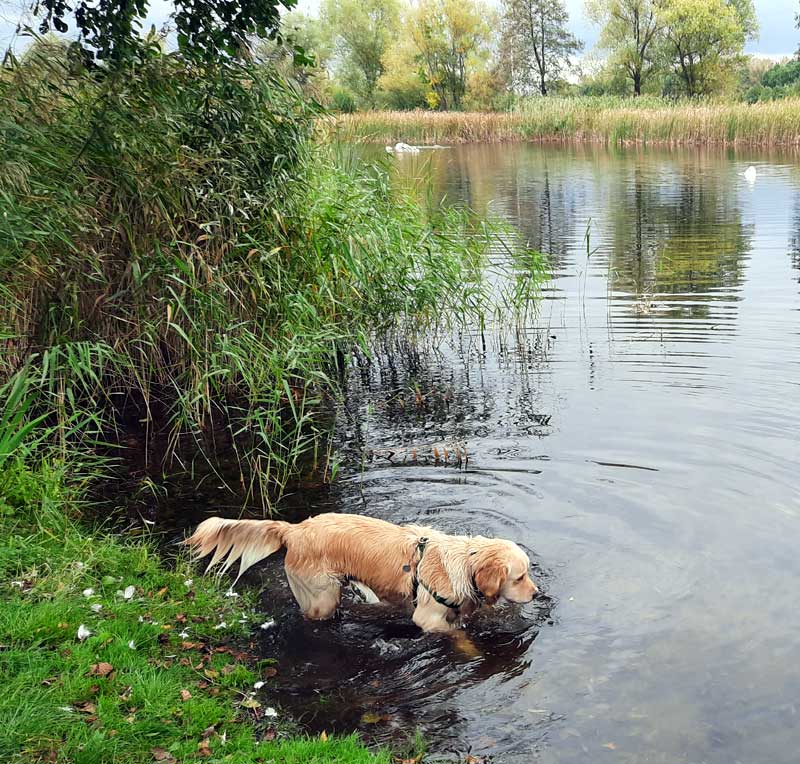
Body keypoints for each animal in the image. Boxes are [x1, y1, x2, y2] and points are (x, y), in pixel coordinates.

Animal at [186, 512, 536, 632]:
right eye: (520, 577)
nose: (536, 593)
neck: (464, 563)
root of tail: (293, 529)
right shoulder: (427, 617)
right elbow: (453, 633)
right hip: (322, 596)